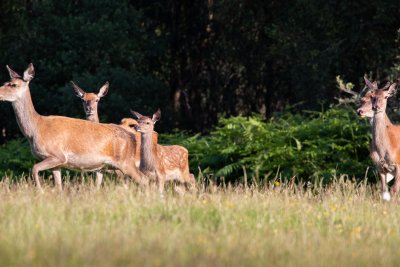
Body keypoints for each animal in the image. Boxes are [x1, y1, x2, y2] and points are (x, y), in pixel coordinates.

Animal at [0, 63, 146, 192]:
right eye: (6, 82)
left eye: (13, 84)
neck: (35, 130)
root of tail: (131, 137)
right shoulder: (57, 164)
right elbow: (58, 186)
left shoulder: (57, 155)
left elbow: (34, 168)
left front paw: (40, 192)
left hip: (125, 162)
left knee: (143, 179)